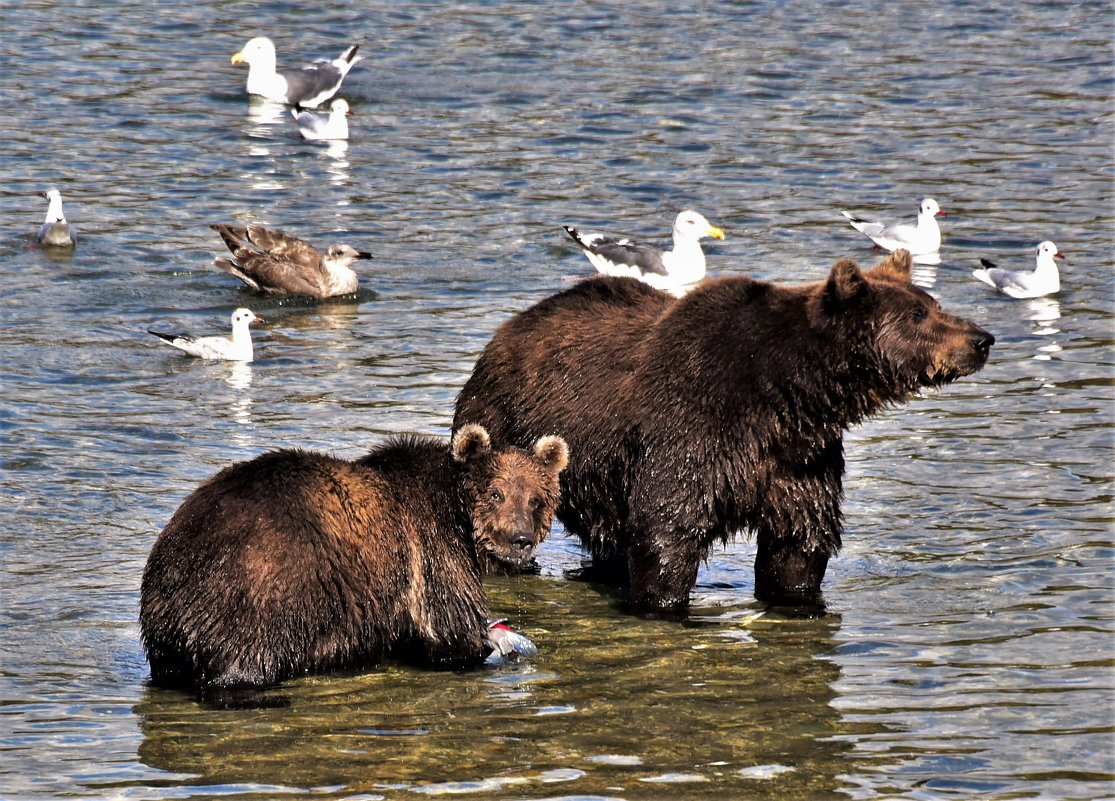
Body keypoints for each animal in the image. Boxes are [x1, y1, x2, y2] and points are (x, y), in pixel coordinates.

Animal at [140, 426, 570, 696]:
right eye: (496, 493)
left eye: (535, 498)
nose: (520, 540)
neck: (458, 516)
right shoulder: (430, 547)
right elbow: (447, 625)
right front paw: (483, 641)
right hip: (260, 587)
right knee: (246, 656)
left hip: (166, 619)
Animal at [452, 252, 994, 615]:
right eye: (918, 315)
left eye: (933, 303)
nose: (982, 339)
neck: (786, 396)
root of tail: (510, 329)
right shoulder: (691, 433)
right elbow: (667, 534)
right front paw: (662, 602)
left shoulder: (801, 460)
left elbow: (798, 544)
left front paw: (793, 594)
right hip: (503, 425)